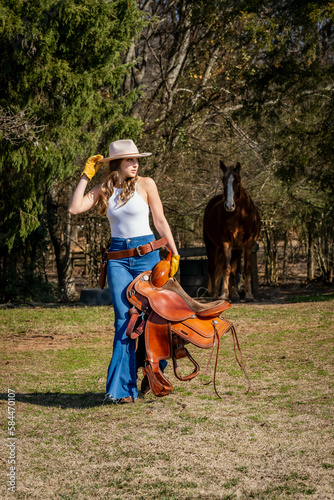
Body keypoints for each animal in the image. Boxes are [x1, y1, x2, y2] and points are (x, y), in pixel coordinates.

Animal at [204, 161, 260, 300]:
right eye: (223, 180)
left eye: (237, 180)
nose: (229, 205)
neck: (240, 215)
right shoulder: (226, 243)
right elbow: (226, 268)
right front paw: (223, 294)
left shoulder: (248, 244)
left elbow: (246, 268)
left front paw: (249, 295)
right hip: (211, 245)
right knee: (212, 268)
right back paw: (214, 294)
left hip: (237, 249)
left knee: (234, 269)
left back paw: (234, 294)